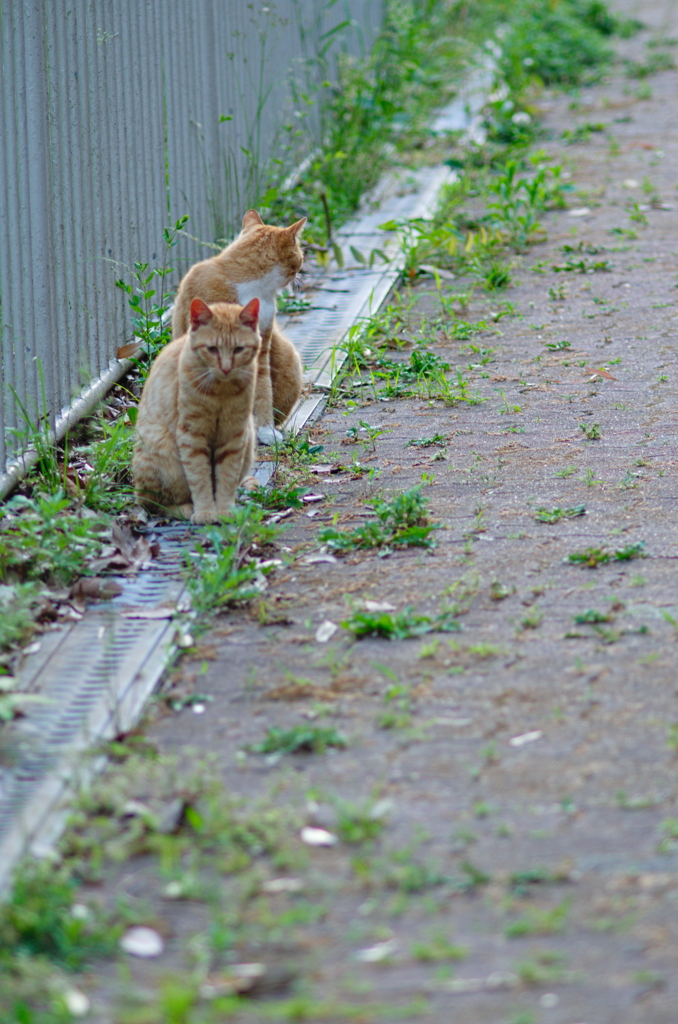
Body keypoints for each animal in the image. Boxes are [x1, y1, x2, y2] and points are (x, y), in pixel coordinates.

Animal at [134, 294, 261, 520]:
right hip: (162, 451)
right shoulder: (192, 435)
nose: (226, 368)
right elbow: (199, 477)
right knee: (155, 504)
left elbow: (227, 477)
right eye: (212, 349)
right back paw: (186, 509)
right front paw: (205, 512)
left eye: (238, 349)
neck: (221, 391)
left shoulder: (234, 434)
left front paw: (224, 510)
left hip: (249, 440)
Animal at [171, 209, 307, 442]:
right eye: (300, 254)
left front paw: (265, 429)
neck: (254, 288)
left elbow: (262, 388)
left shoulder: (260, 348)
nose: (300, 273)